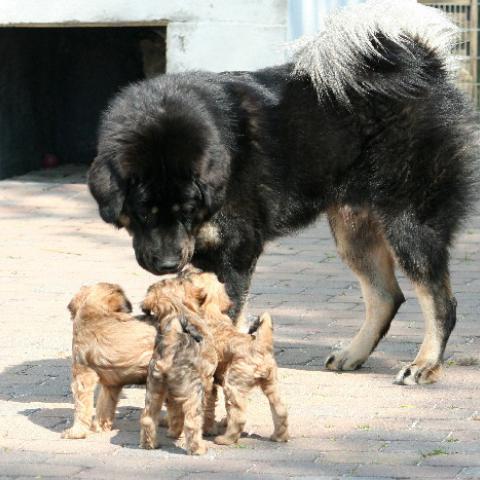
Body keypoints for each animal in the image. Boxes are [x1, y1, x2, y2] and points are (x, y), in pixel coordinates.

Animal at [89, 0, 476, 384]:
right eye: (144, 213)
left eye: (188, 210)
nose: (169, 263)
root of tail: (426, 68)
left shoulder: (236, 251)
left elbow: (223, 321)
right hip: (354, 231)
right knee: (386, 297)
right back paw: (353, 354)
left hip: (408, 225)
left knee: (442, 303)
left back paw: (424, 364)